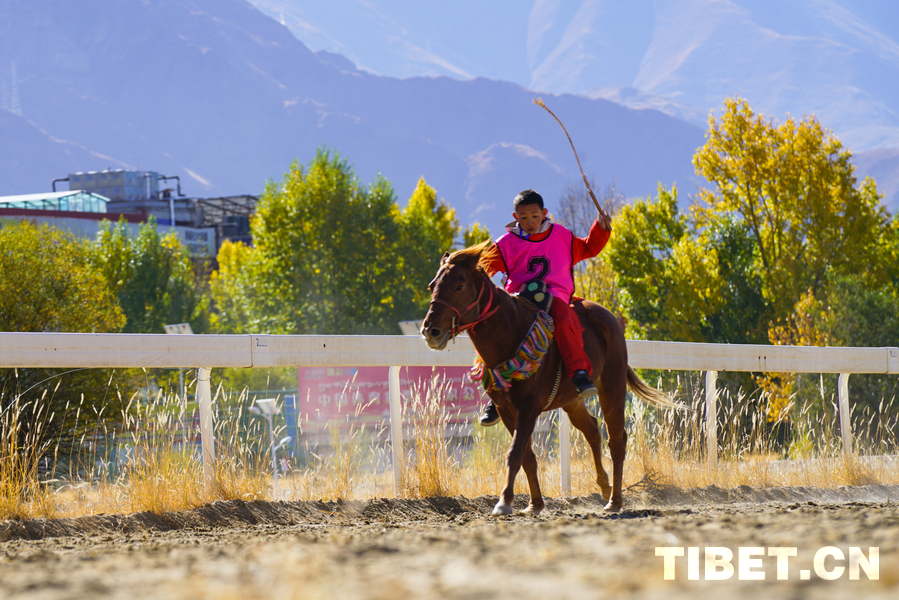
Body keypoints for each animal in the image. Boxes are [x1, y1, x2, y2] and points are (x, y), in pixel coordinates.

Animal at [422, 241, 676, 512]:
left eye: (459, 286)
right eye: (432, 285)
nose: (431, 330)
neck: (512, 334)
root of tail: (611, 319)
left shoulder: (529, 406)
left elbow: (515, 452)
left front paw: (504, 501)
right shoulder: (505, 409)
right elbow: (526, 456)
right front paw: (535, 503)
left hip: (612, 388)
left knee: (617, 440)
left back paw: (614, 500)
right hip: (572, 401)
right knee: (592, 430)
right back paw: (604, 485)